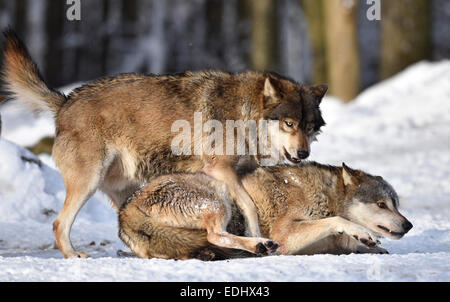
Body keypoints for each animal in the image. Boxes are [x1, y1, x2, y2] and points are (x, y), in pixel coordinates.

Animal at [1, 30, 328, 258]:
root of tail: (66, 102)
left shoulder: (240, 173)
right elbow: (248, 205)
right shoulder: (219, 170)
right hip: (88, 183)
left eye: (309, 127)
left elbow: (250, 204)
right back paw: (74, 255)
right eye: (289, 124)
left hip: (129, 191)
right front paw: (261, 238)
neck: (243, 114)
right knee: (59, 224)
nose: (303, 152)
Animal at [118, 163, 414, 260]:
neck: (325, 196)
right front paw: (363, 235)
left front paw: (371, 245)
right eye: (381, 204)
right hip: (219, 200)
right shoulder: (287, 236)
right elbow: (337, 220)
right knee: (216, 235)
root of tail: (125, 208)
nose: (408, 225)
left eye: (396, 204)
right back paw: (259, 245)